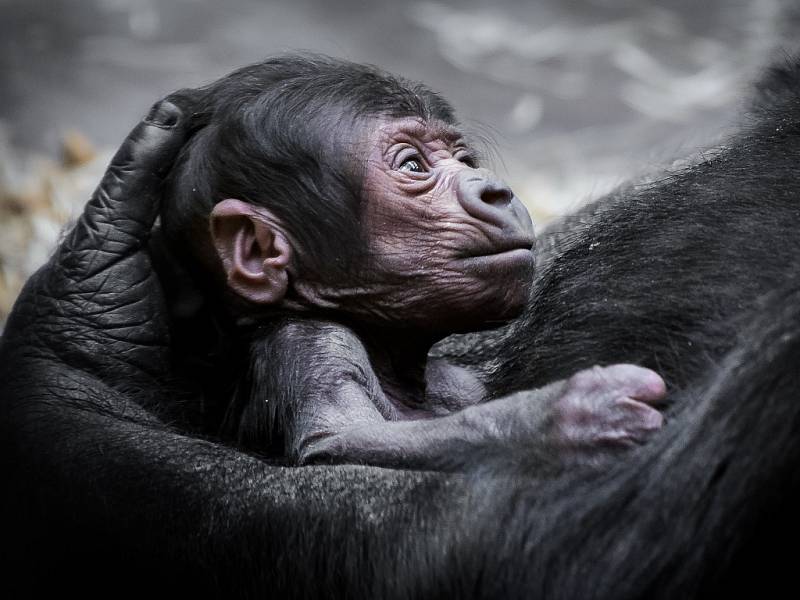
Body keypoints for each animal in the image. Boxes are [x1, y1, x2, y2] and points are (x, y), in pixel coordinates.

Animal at [161, 55, 664, 468]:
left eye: (465, 161)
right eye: (412, 166)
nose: (495, 190)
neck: (397, 363)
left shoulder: (454, 381)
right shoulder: (310, 341)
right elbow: (339, 439)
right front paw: (574, 417)